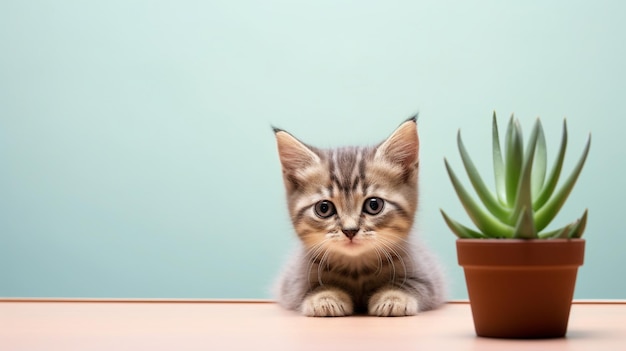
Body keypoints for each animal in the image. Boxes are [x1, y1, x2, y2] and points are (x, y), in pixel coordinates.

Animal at [272, 117, 444, 318]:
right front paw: (324, 298)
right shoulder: (292, 283)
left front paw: (393, 297)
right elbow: (312, 288)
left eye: (374, 205)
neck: (357, 269)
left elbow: (411, 285)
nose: (350, 230)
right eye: (324, 208)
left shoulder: (429, 278)